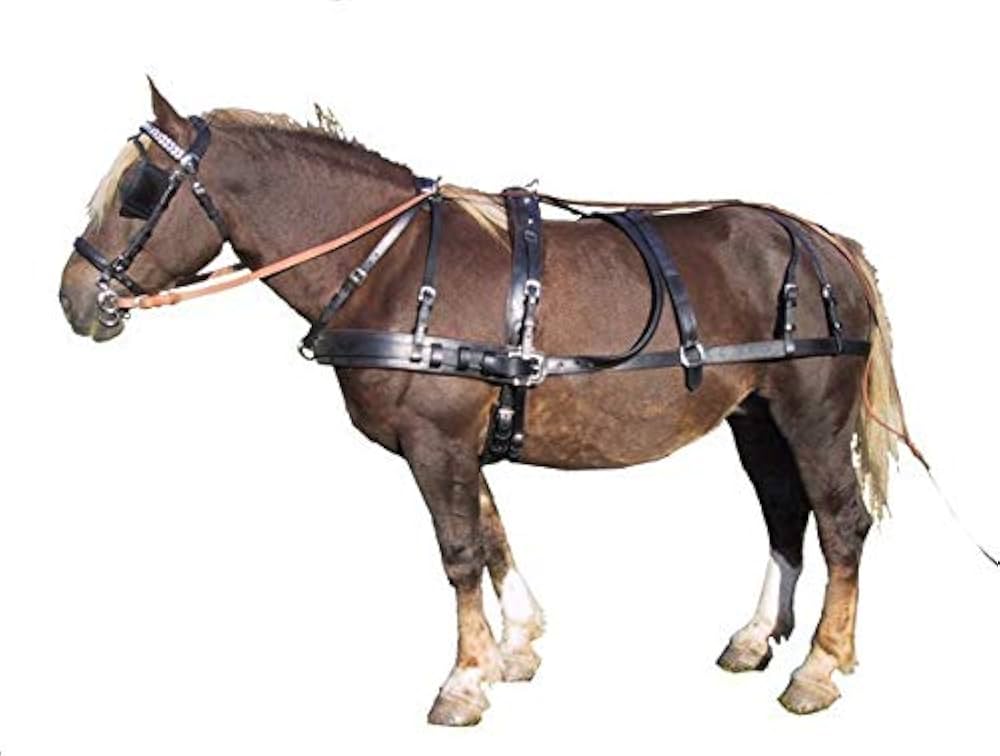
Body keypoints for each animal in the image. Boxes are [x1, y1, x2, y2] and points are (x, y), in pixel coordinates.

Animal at [59, 80, 905, 726]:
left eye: (136, 194)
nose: (73, 297)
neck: (394, 266)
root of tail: (827, 244)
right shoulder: (463, 441)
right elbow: (494, 535)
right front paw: (515, 648)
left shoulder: (436, 441)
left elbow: (460, 552)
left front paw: (463, 681)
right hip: (755, 416)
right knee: (785, 516)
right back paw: (757, 637)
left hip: (811, 414)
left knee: (841, 523)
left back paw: (820, 667)